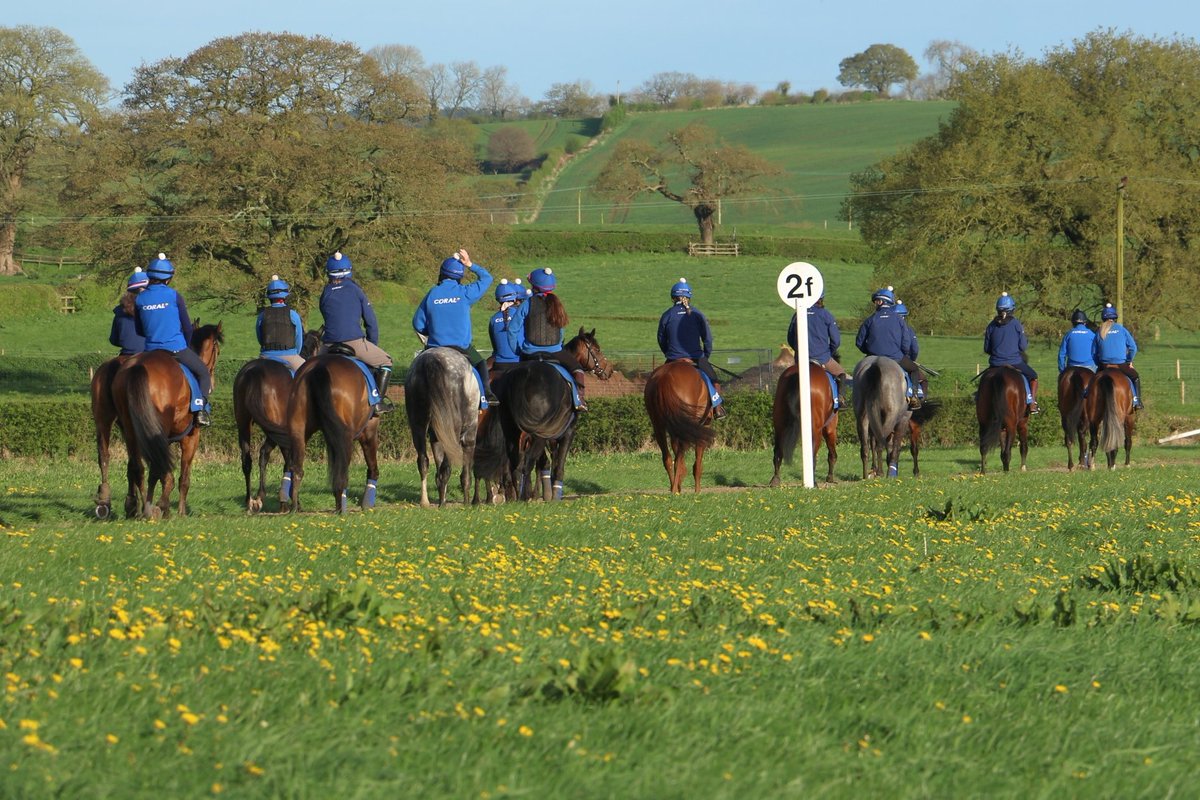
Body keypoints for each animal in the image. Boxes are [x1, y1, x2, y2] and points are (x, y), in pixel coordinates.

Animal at [111, 321, 224, 522]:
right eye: (217, 349)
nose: (212, 382)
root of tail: (139, 366)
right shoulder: (191, 437)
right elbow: (183, 478)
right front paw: (179, 511)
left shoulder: (166, 440)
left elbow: (165, 474)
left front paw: (166, 509)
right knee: (154, 468)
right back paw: (153, 507)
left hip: (132, 431)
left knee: (137, 467)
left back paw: (138, 507)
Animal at [229, 331, 321, 513]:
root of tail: (253, 373)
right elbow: (287, 460)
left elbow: (264, 455)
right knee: (288, 459)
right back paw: (290, 502)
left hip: (244, 423)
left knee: (247, 459)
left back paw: (250, 500)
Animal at [285, 345, 379, 510]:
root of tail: (320, 367)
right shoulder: (368, 433)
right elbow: (372, 466)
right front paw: (367, 503)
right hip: (346, 437)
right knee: (342, 472)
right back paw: (342, 508)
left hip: (298, 430)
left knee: (296, 468)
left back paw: (296, 506)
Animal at [408, 345, 482, 506]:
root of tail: (429, 361)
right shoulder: (470, 433)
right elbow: (466, 472)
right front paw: (467, 502)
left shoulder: (436, 436)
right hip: (452, 430)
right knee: (446, 468)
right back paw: (442, 503)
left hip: (418, 425)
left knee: (423, 461)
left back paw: (425, 501)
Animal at [643, 357, 715, 494]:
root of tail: (664, 377)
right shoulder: (703, 426)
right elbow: (698, 458)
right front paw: (697, 490)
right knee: (679, 459)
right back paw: (676, 488)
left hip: (658, 424)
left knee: (668, 458)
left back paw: (674, 488)